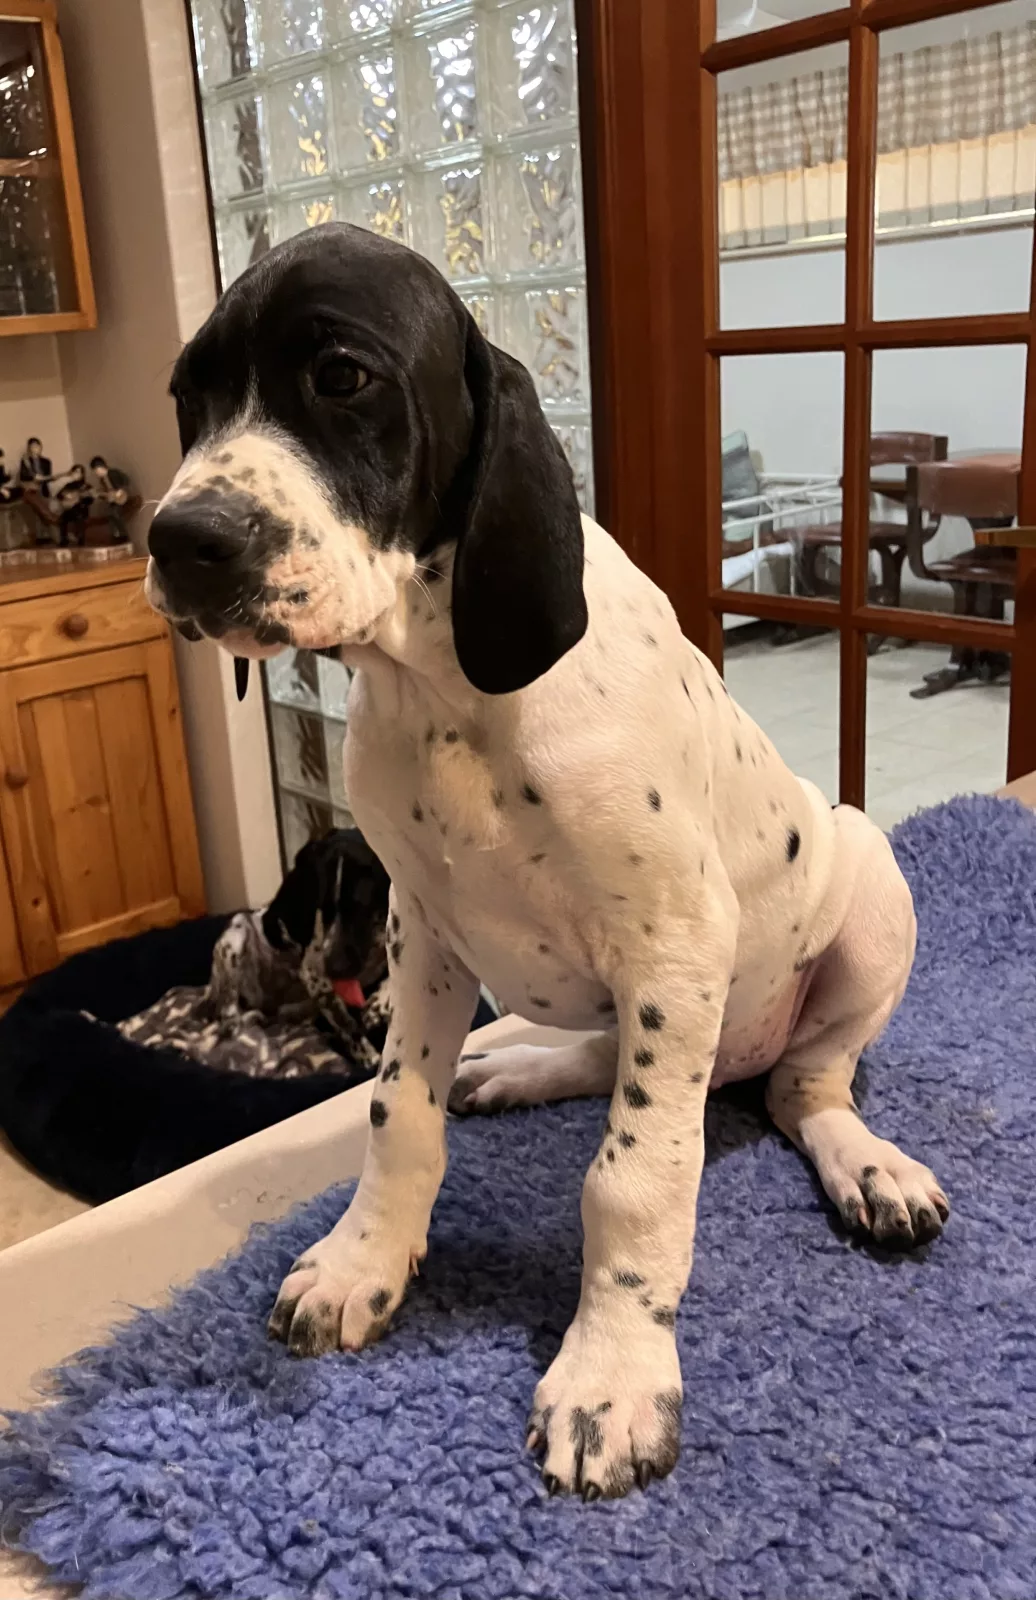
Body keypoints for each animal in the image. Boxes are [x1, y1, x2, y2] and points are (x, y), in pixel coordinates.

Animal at [146, 222, 948, 1502]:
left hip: (862, 890)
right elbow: (398, 1115)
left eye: (340, 377)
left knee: (798, 1086)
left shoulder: (674, 944)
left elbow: (632, 1176)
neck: (442, 691)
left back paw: (866, 1166)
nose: (180, 542)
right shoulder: (419, 931)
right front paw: (362, 1259)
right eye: (190, 397)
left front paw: (611, 1375)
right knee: (608, 1058)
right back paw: (513, 1068)